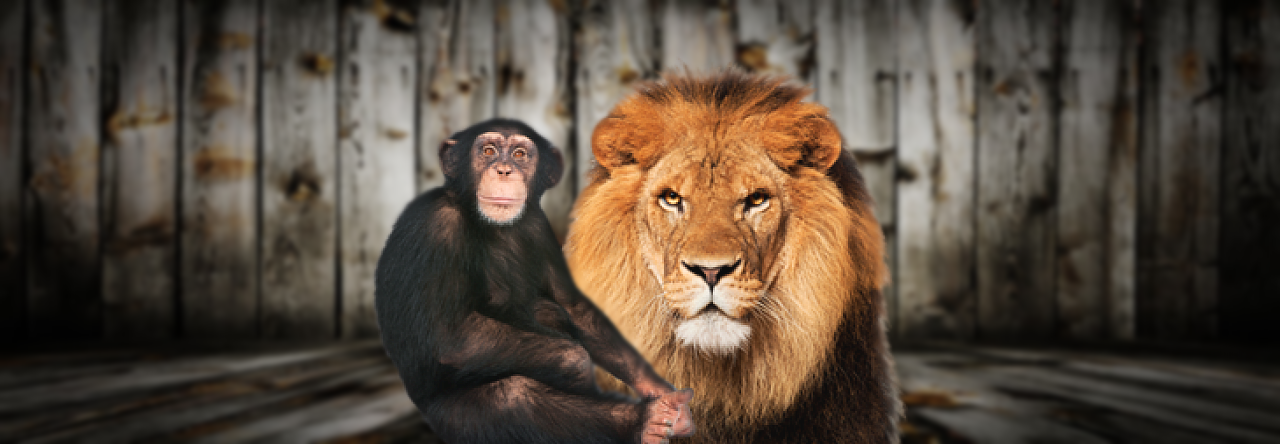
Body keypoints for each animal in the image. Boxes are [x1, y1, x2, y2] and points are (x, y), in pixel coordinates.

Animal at [375, 119, 695, 444]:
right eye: (488, 150)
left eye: (519, 154)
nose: (504, 170)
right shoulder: (437, 227)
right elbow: (448, 337)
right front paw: (576, 364)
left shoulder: (539, 225)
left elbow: (574, 307)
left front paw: (659, 390)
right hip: (448, 417)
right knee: (512, 398)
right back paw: (645, 422)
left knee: (550, 311)